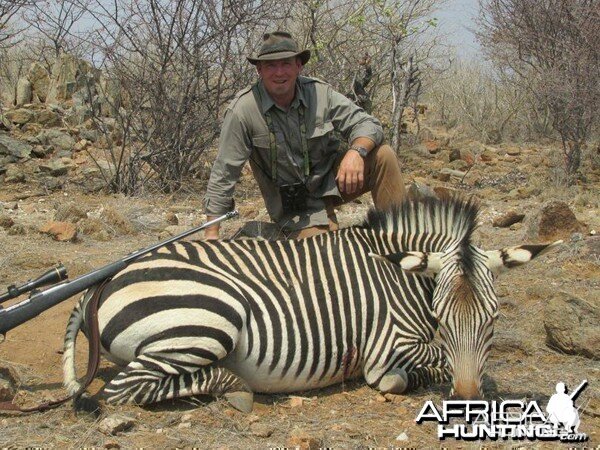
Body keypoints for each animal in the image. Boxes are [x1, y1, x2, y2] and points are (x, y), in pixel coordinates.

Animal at [62, 195, 564, 414]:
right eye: (441, 317)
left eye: (493, 320)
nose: (467, 402)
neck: (400, 275)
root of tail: (102, 282)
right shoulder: (387, 347)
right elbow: (423, 365)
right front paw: (407, 379)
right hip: (210, 317)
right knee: (125, 390)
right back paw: (233, 385)